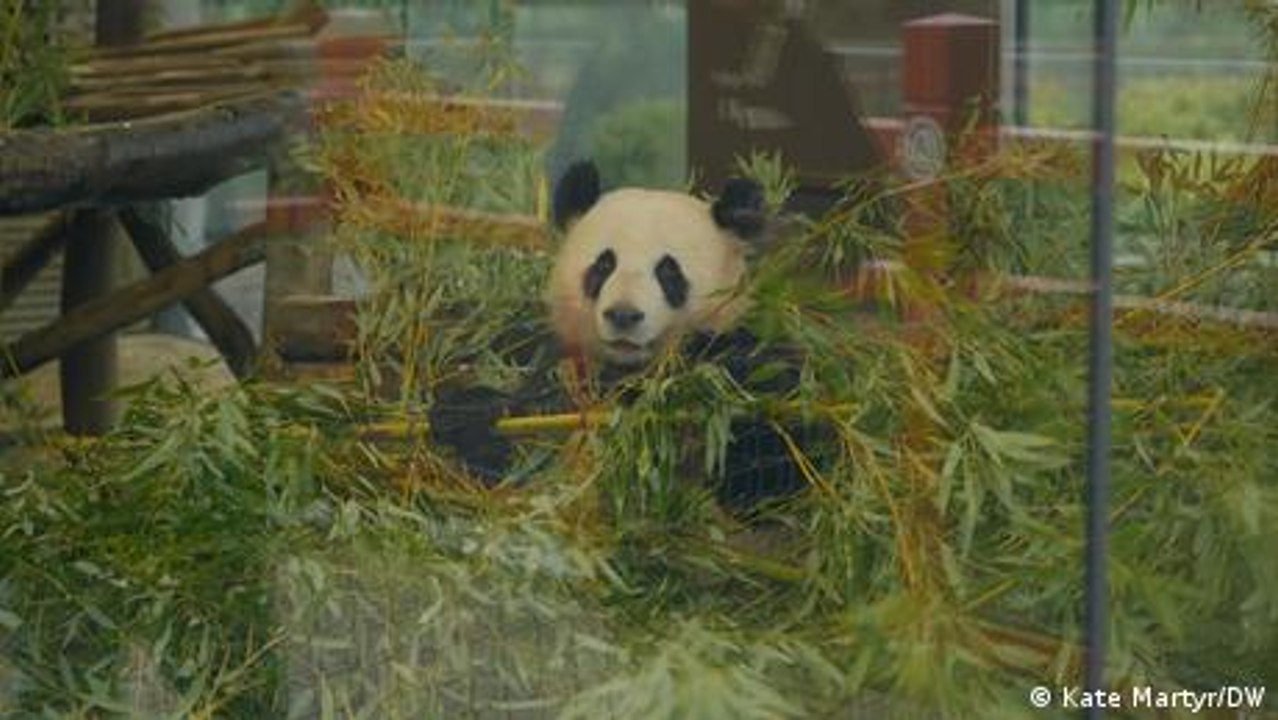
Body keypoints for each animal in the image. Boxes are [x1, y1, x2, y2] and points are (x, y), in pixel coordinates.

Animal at [429, 159, 822, 513]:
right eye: (604, 264)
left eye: (668, 271)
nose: (623, 315)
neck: (630, 370)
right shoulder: (560, 363)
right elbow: (520, 437)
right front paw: (467, 415)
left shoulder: (740, 346)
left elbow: (776, 450)